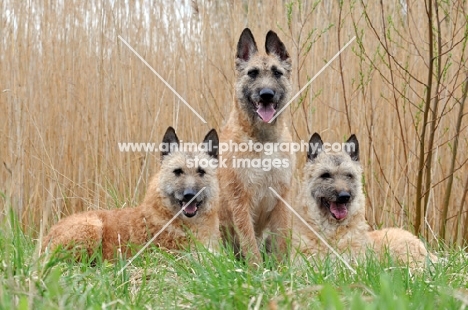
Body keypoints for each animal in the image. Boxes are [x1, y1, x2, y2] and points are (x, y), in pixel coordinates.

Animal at [218, 28, 294, 264]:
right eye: (252, 73)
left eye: (277, 73)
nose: (266, 94)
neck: (264, 141)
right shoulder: (240, 201)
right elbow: (249, 243)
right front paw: (256, 269)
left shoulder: (282, 200)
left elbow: (282, 242)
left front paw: (282, 269)